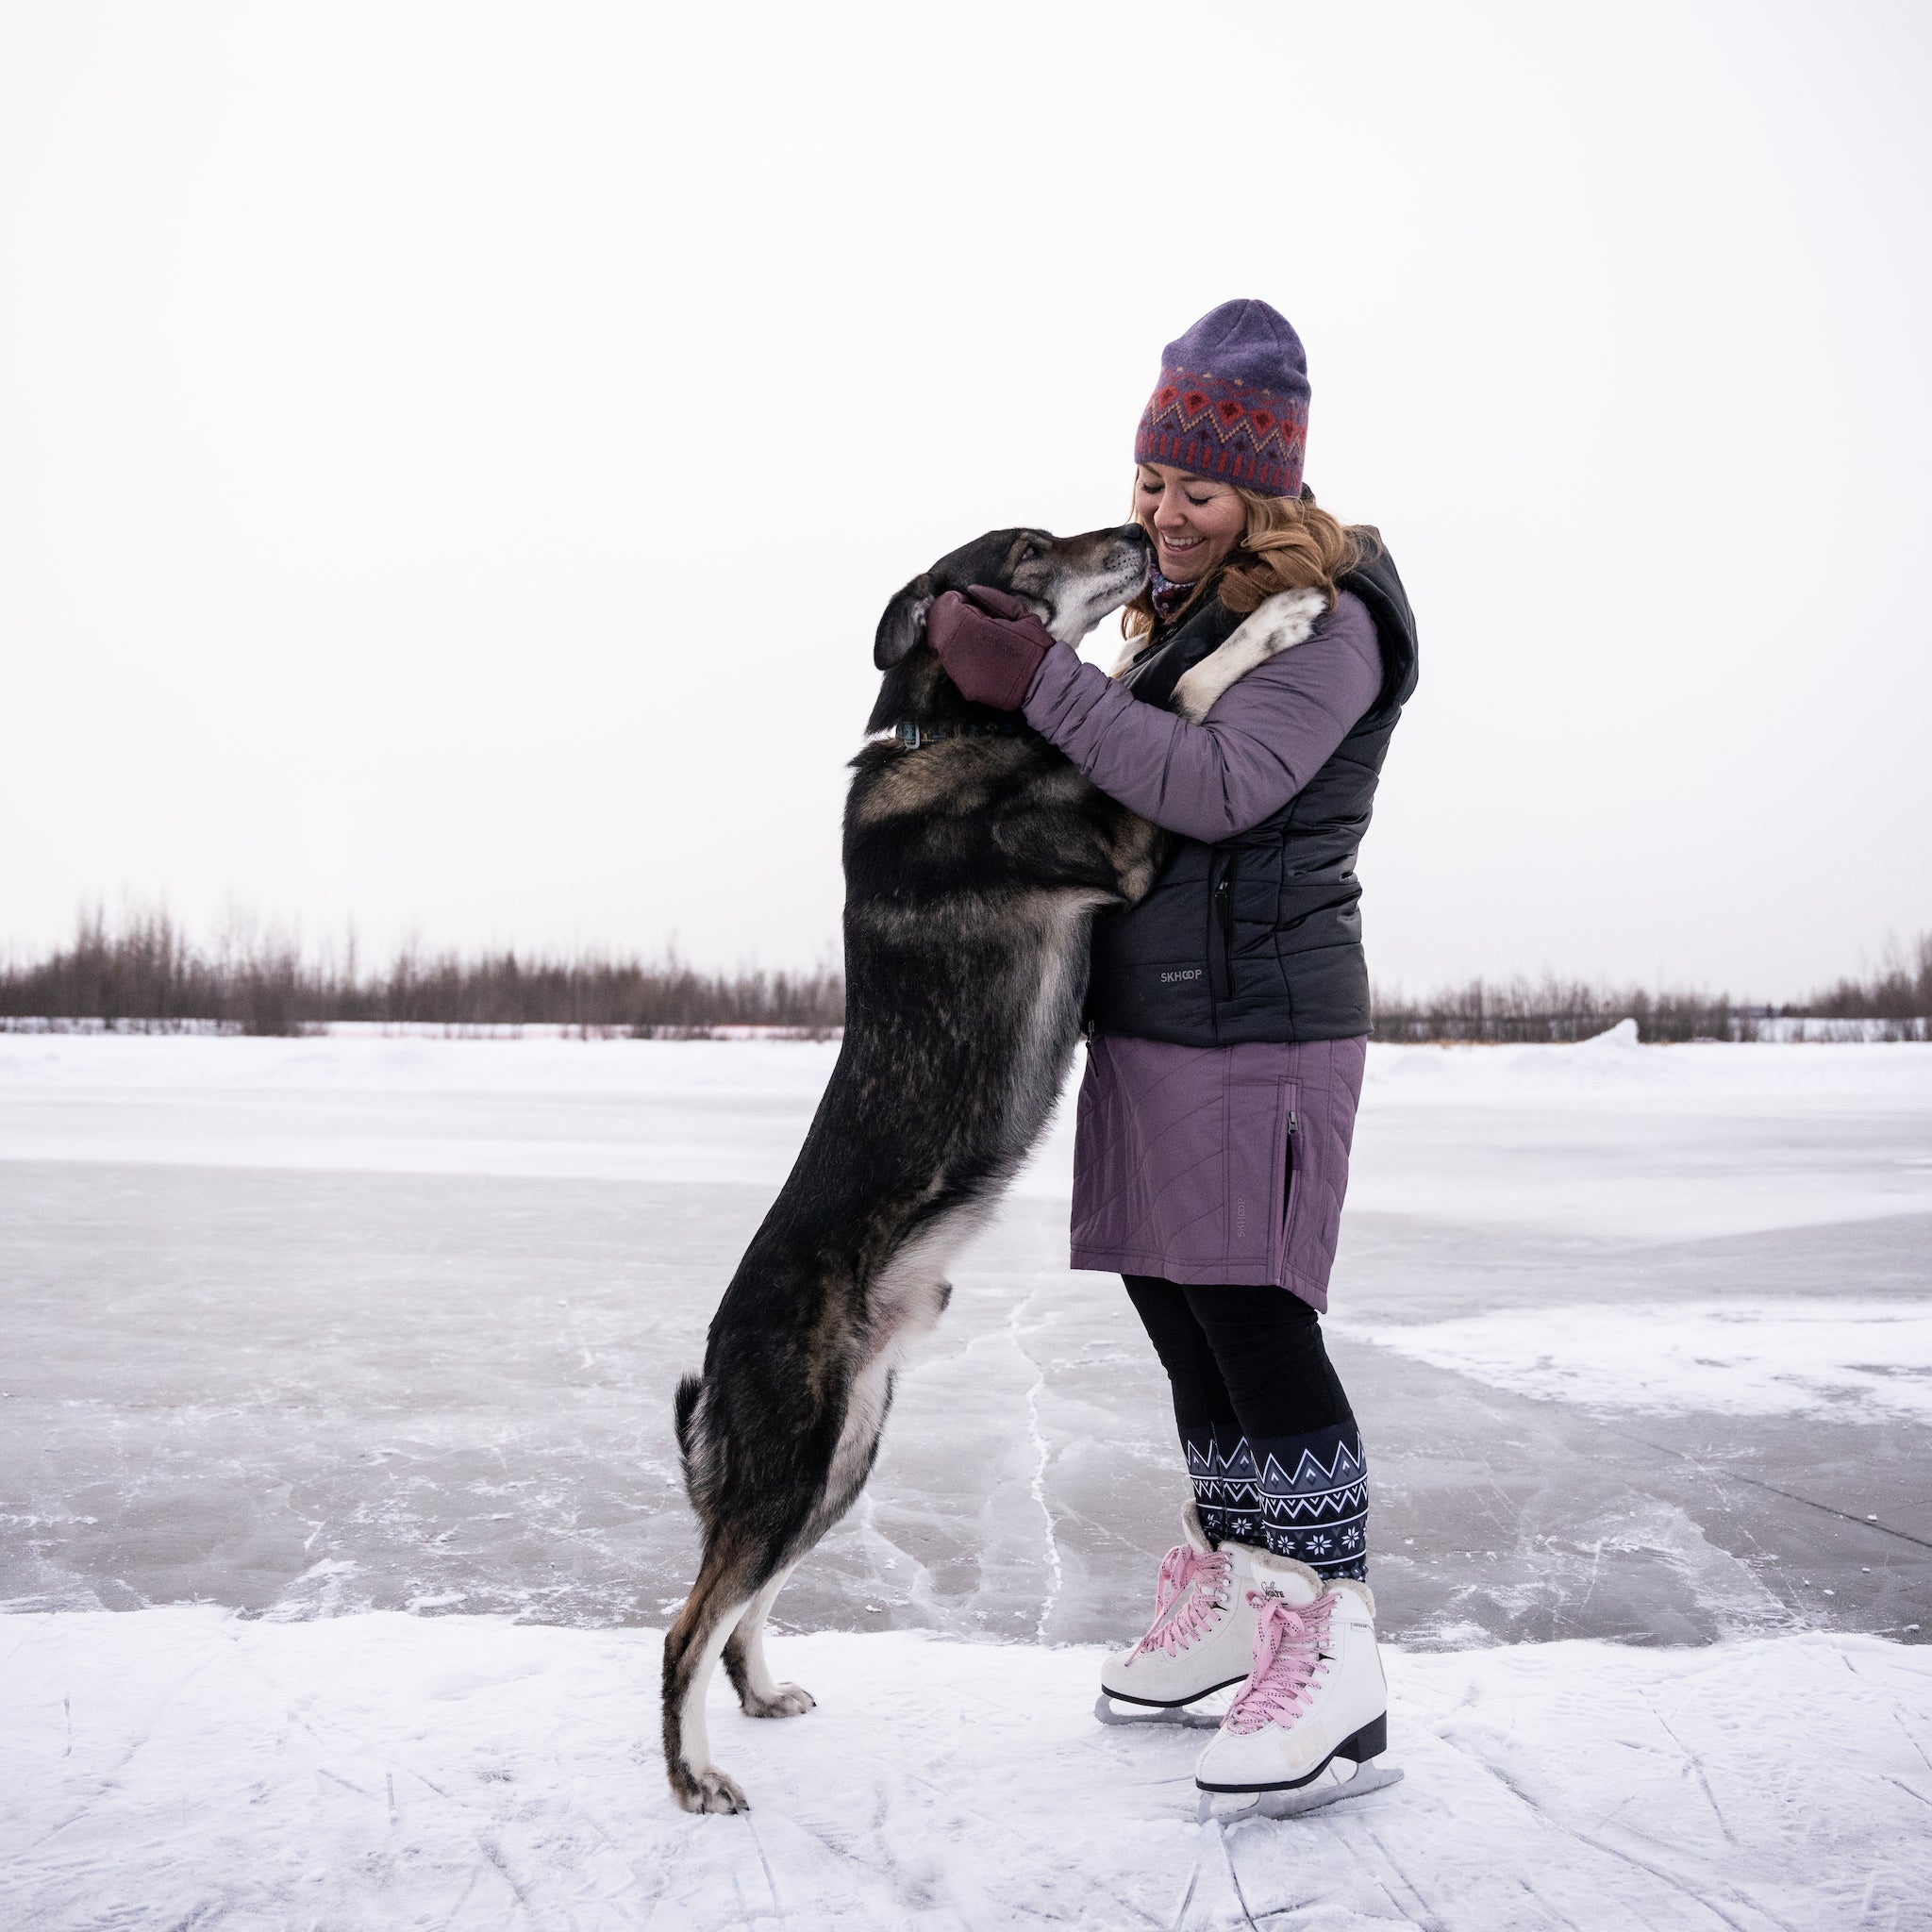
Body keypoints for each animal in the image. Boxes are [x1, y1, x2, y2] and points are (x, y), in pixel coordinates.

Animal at [664, 517, 1329, 1807]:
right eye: (1025, 547)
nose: (1135, 533)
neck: (961, 730)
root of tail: (719, 1348)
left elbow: (1146, 689)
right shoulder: (1121, 843)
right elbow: (1179, 692)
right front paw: (1270, 623)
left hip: (841, 1462)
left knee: (738, 1606)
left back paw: (760, 1695)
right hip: (790, 1459)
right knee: (683, 1624)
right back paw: (692, 1776)